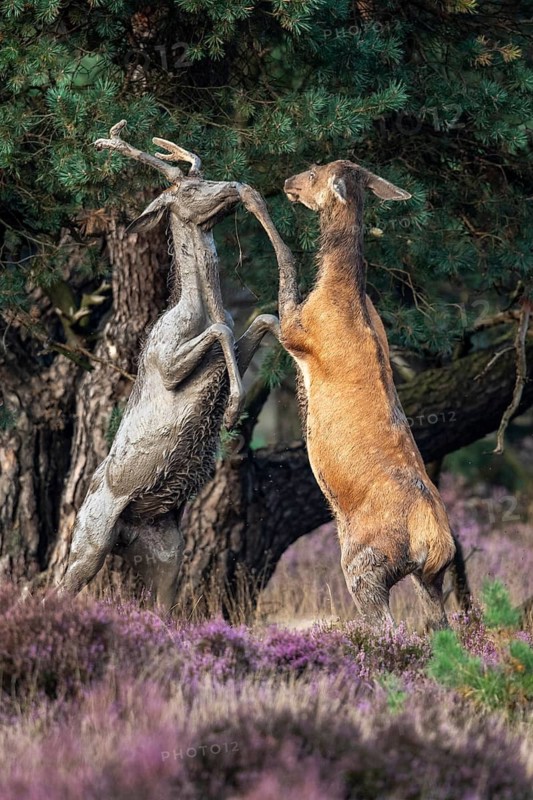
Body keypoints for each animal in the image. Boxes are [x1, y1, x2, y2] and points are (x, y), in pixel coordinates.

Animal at [59, 121, 296, 611]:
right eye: (188, 188)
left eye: (203, 175)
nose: (236, 186)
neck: (200, 308)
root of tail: (124, 535)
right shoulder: (164, 360)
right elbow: (220, 333)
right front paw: (231, 411)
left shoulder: (232, 343)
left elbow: (261, 320)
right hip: (90, 542)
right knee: (56, 586)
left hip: (166, 549)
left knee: (162, 605)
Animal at [281, 159, 470, 629]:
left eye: (315, 173)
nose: (288, 182)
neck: (342, 291)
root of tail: (435, 541)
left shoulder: (299, 332)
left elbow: (279, 281)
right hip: (430, 578)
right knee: (437, 626)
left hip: (363, 563)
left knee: (385, 625)